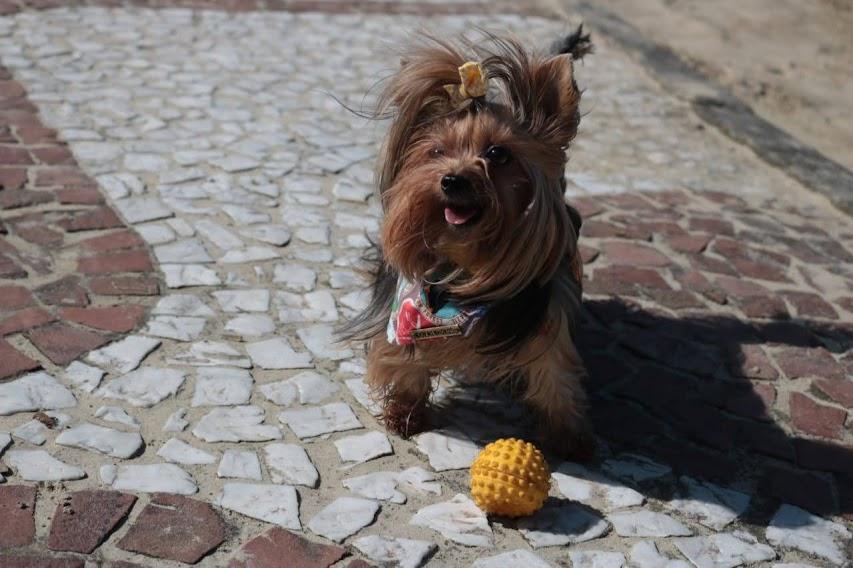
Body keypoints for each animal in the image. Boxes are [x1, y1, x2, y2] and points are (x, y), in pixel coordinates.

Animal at [342, 27, 596, 462]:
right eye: (436, 151)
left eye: (498, 153)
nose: (452, 179)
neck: (466, 259)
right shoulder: (402, 316)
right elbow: (403, 359)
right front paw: (404, 412)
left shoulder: (546, 318)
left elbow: (555, 373)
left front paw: (569, 436)